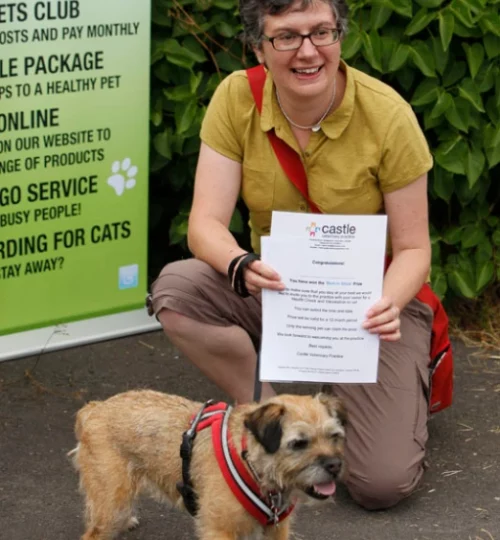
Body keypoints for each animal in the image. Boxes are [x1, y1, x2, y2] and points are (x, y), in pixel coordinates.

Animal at [68, 390, 346, 540]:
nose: (335, 466)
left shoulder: (276, 531)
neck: (250, 462)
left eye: (334, 436)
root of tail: (94, 408)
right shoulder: (219, 531)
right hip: (112, 504)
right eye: (299, 443)